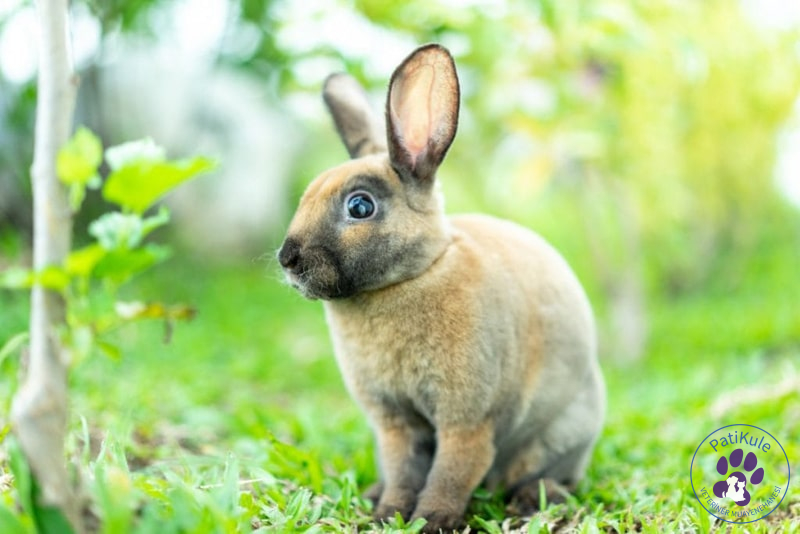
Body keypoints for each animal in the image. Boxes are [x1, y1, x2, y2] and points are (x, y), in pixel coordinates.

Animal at [277, 44, 605, 533]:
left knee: (549, 476)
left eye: (360, 206)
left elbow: (453, 470)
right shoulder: (394, 424)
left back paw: (532, 500)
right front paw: (390, 513)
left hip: (561, 435)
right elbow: (403, 469)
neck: (412, 276)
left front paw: (432, 520)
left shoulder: (467, 419)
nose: (288, 259)